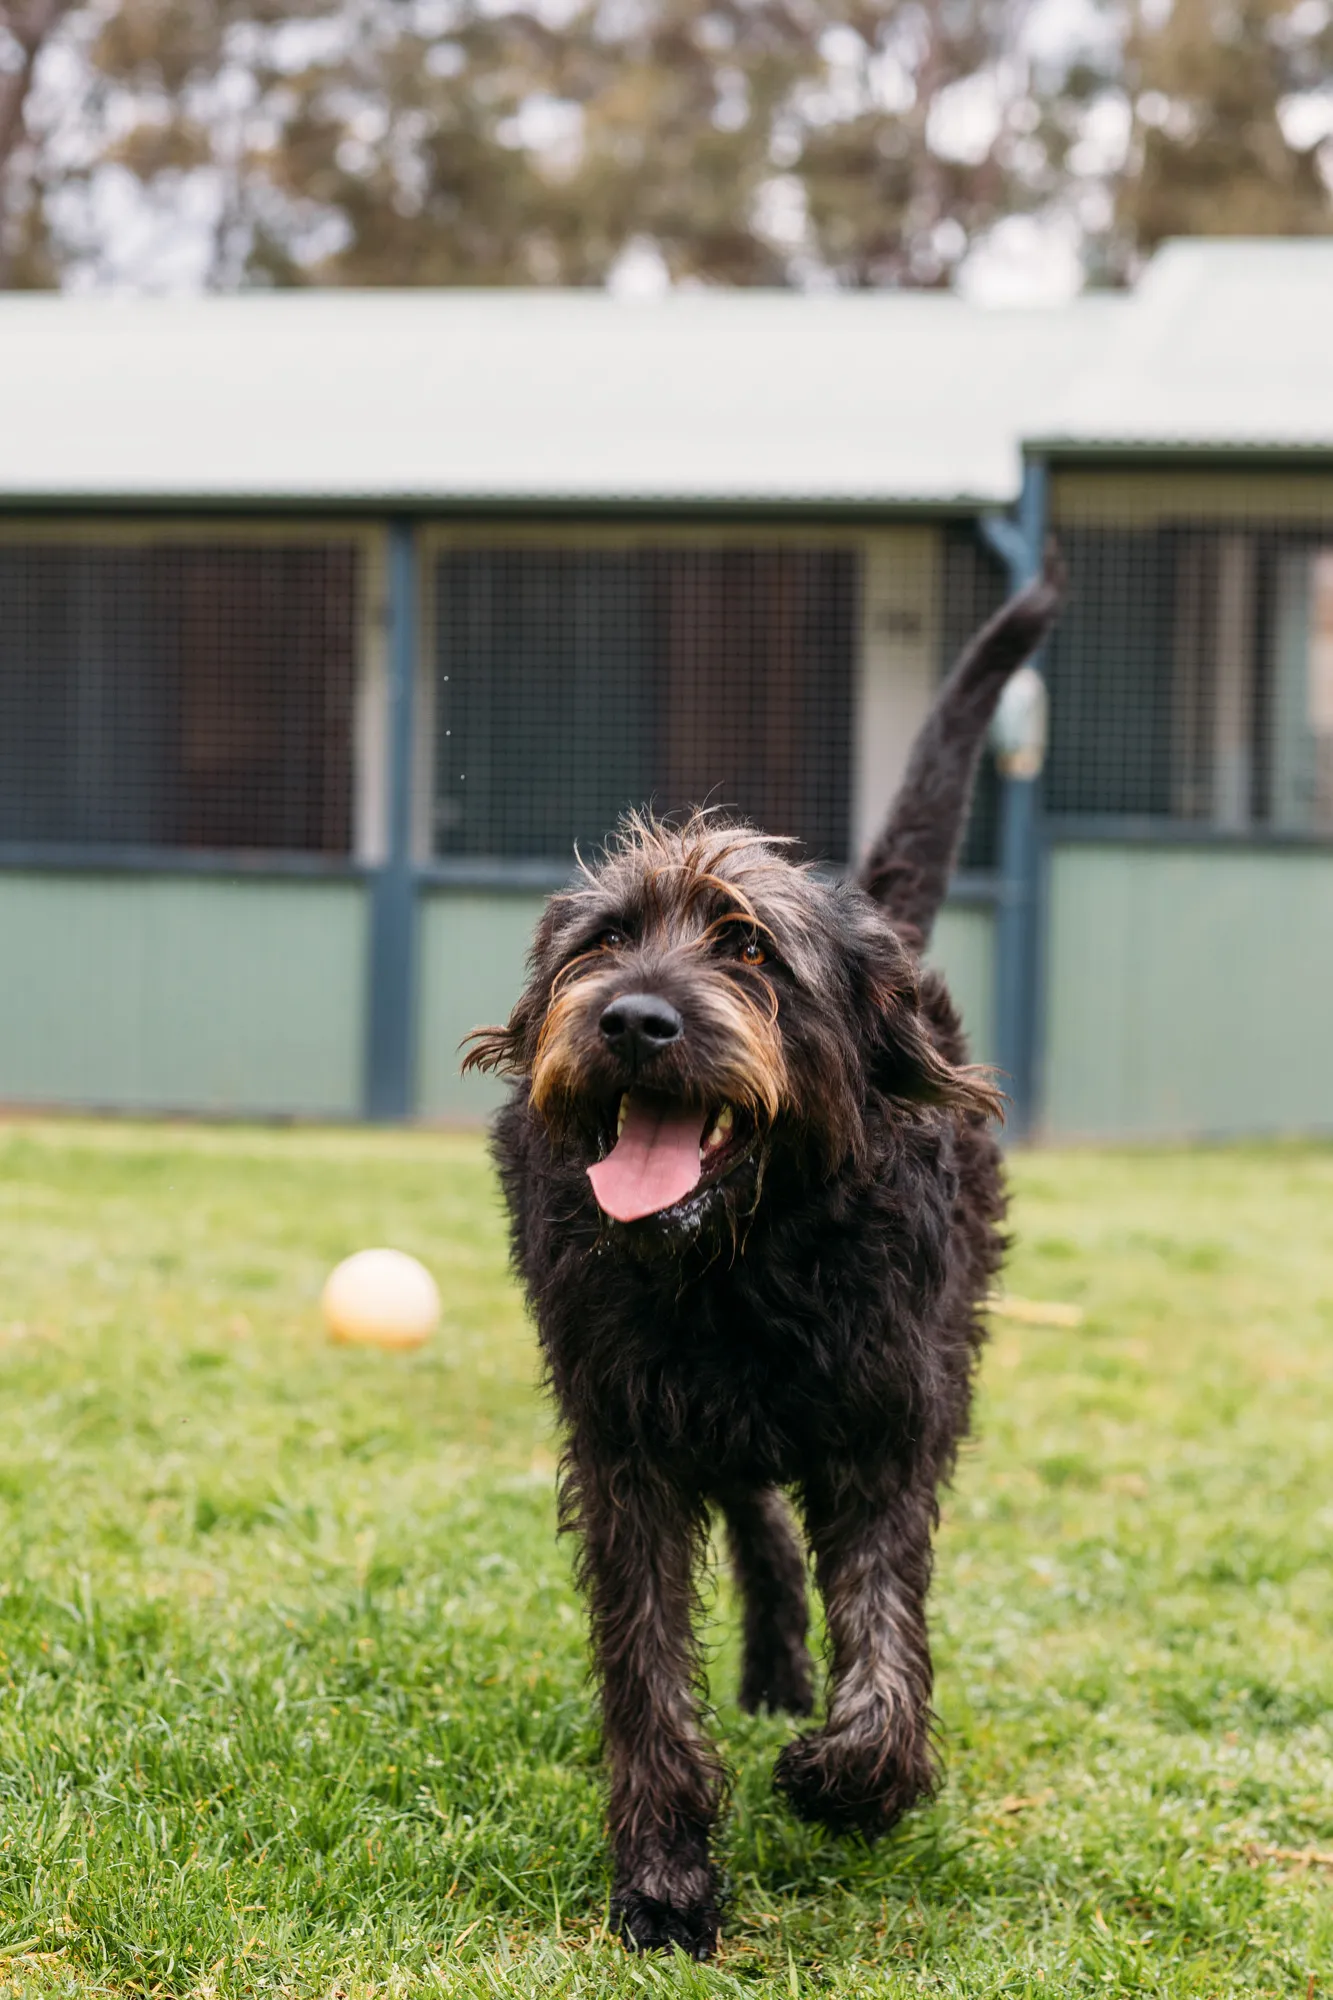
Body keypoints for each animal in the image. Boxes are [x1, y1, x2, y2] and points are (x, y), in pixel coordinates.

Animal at [464, 560, 1056, 1952]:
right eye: (604, 940)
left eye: (746, 946)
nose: (634, 1018)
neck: (743, 1261)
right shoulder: (627, 1437)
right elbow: (645, 1669)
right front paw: (664, 1874)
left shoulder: (893, 1422)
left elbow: (887, 1637)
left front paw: (846, 1779)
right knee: (761, 1527)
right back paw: (777, 1661)